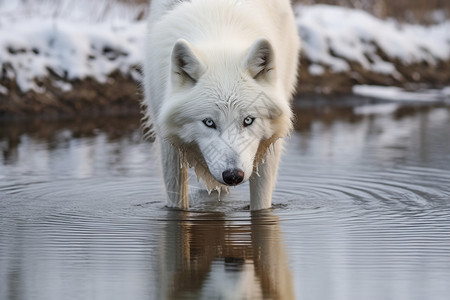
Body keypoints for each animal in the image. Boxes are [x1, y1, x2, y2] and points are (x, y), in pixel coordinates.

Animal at [143, 0, 298, 210]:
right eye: (209, 122)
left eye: (248, 120)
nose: (233, 175)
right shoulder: (170, 148)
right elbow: (177, 204)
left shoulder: (267, 150)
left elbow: (261, 204)